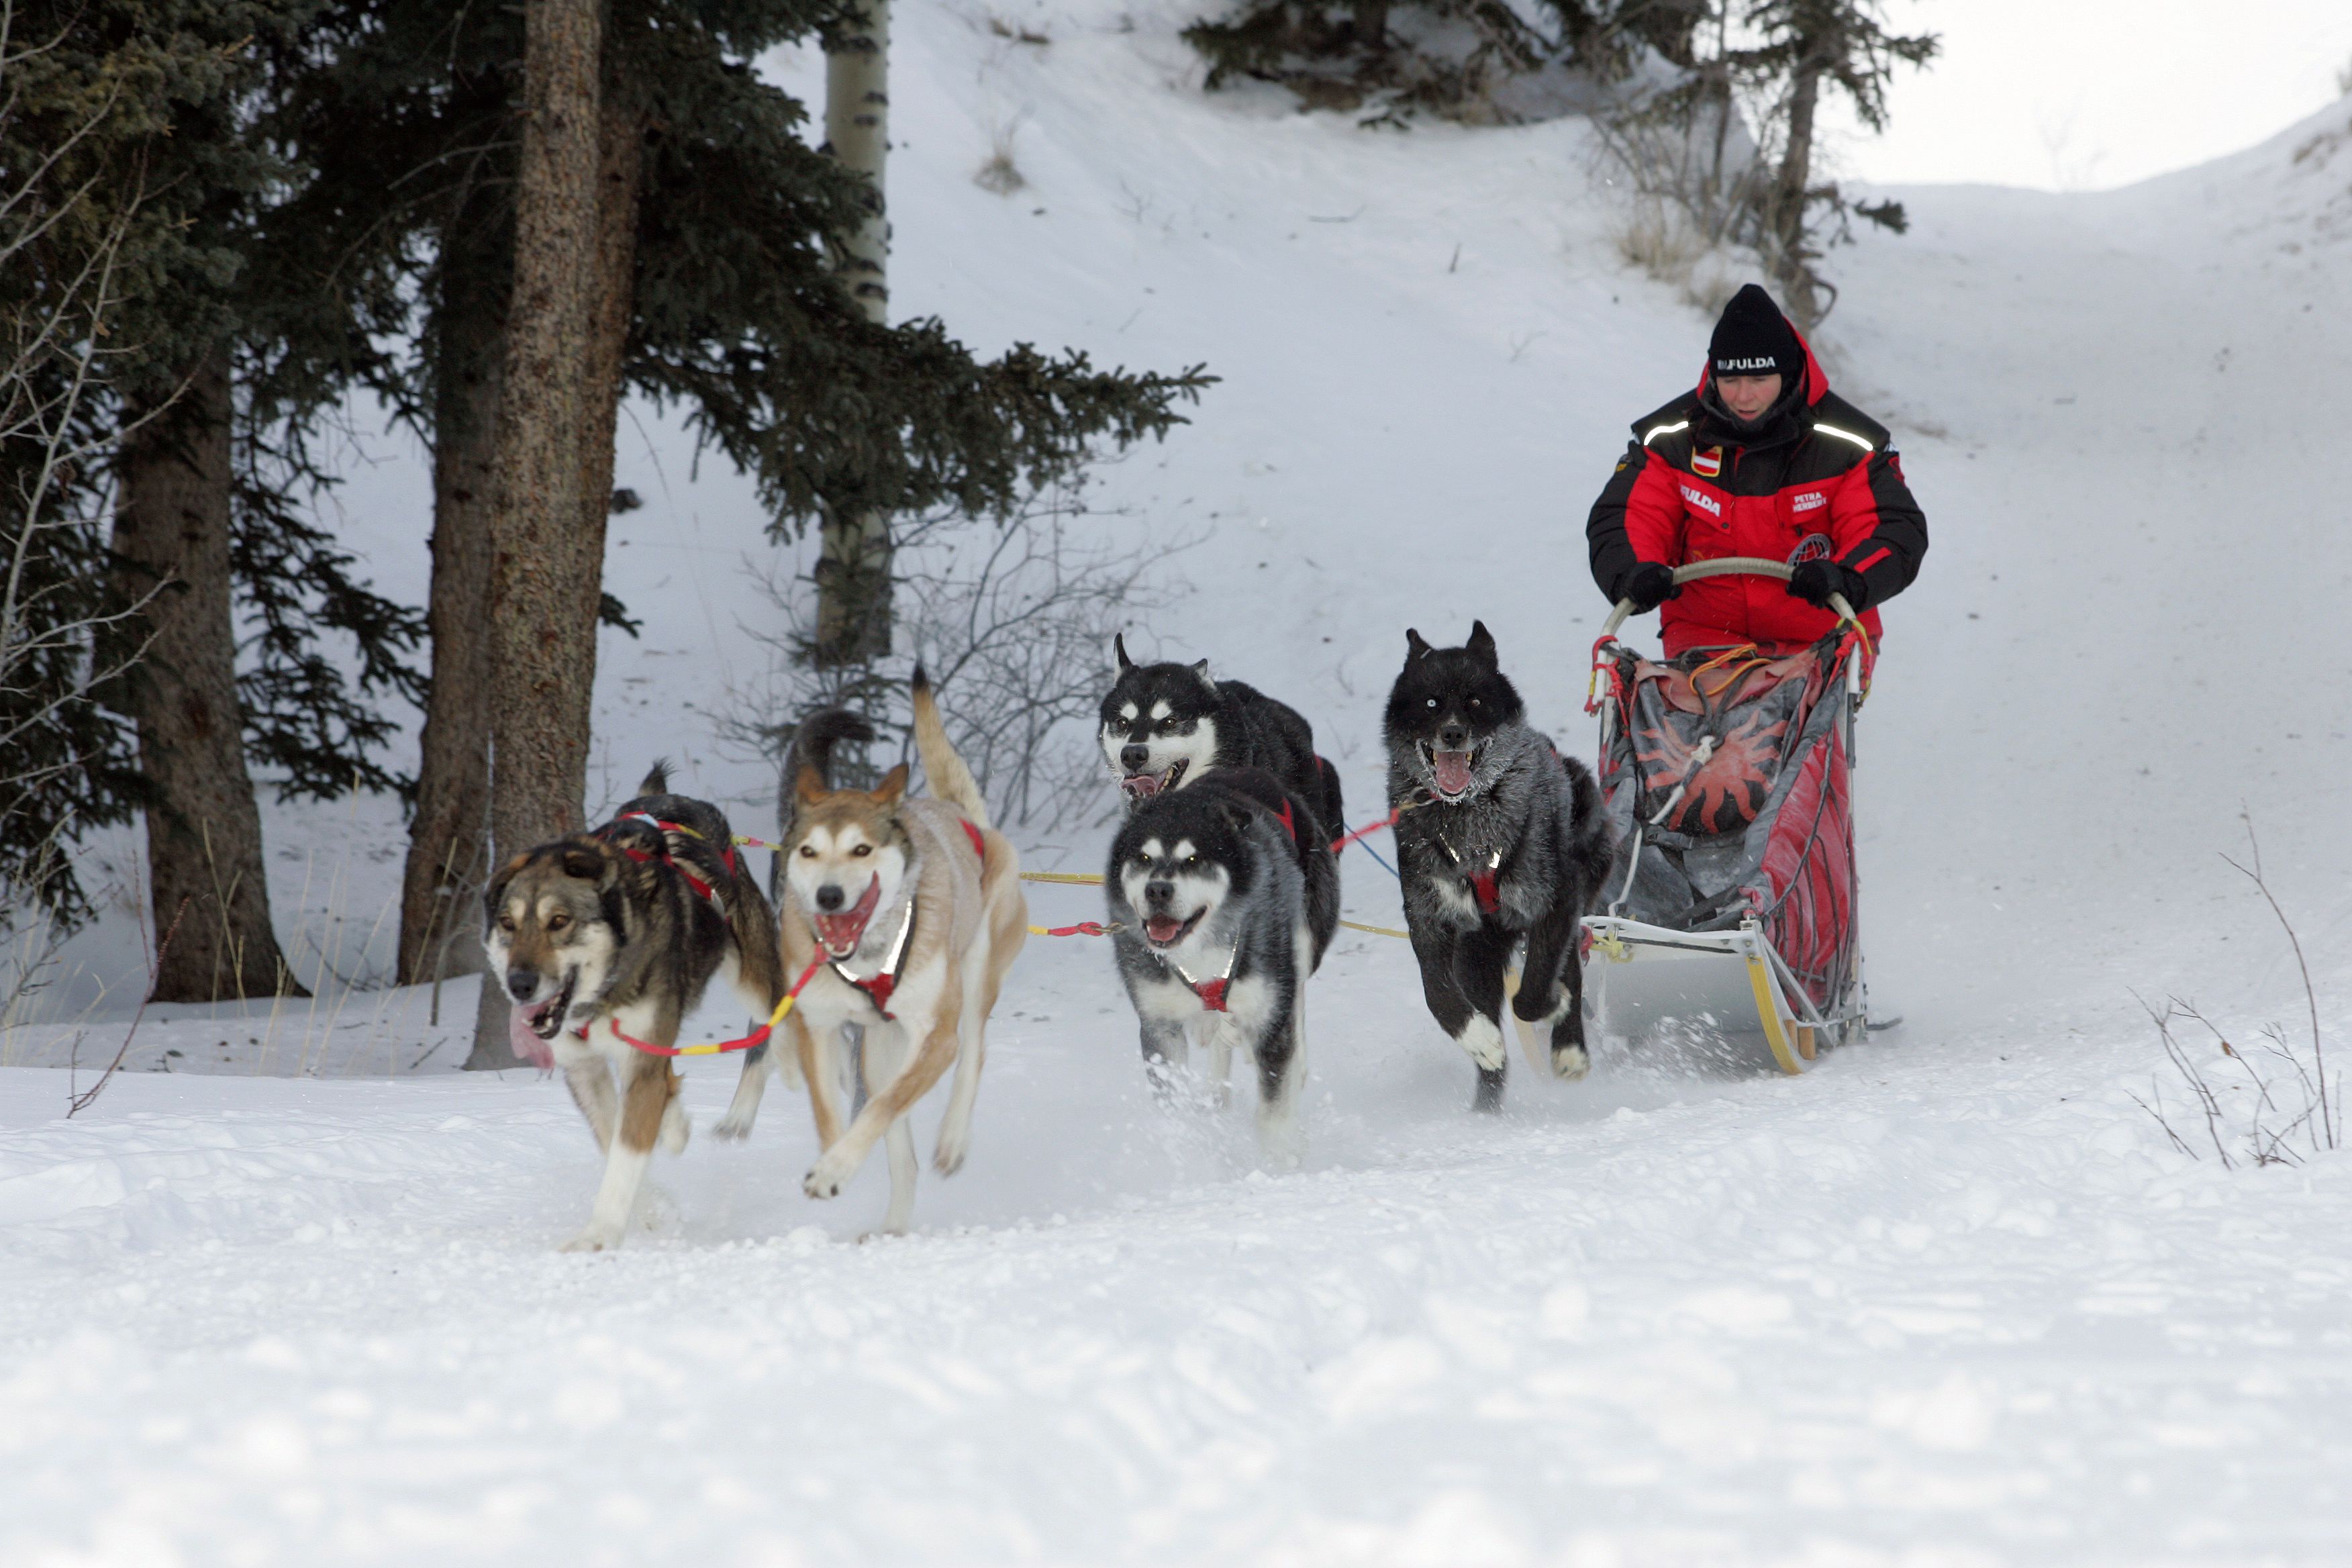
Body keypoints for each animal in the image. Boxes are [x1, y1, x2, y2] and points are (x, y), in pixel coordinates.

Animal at [482, 761, 785, 1251]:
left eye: (559, 921)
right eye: (508, 924)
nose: (520, 984)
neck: (602, 996)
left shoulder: (641, 1058)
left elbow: (626, 1152)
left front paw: (599, 1234)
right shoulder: (586, 1068)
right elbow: (614, 1138)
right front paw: (653, 1205)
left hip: (752, 980)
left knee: (779, 1027)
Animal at [781, 667, 1030, 1232]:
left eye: (861, 849)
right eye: (809, 851)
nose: (830, 896)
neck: (869, 955)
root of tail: (964, 816)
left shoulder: (934, 1037)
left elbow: (881, 1107)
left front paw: (836, 1168)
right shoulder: (817, 1026)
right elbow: (832, 1112)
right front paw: (834, 1160)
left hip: (976, 974)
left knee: (972, 1051)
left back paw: (953, 1139)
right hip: (878, 1048)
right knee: (900, 1145)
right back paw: (893, 1225)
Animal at [1105, 766, 1345, 1161]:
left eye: (1193, 860)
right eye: (1143, 859)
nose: (1157, 890)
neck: (1201, 949)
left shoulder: (1270, 1016)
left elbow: (1274, 1107)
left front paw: (1280, 1162)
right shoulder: (1160, 1025)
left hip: (1302, 941)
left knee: (1295, 1002)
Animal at [1373, 625, 1618, 1114]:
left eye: (1475, 700)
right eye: (1431, 702)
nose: (1452, 733)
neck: (1468, 819)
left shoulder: (1556, 902)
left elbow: (1535, 991)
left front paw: (1553, 1008)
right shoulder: (1429, 918)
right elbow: (1437, 995)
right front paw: (1480, 1040)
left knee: (1570, 968)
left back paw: (1569, 1048)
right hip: (1477, 955)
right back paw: (1486, 1109)